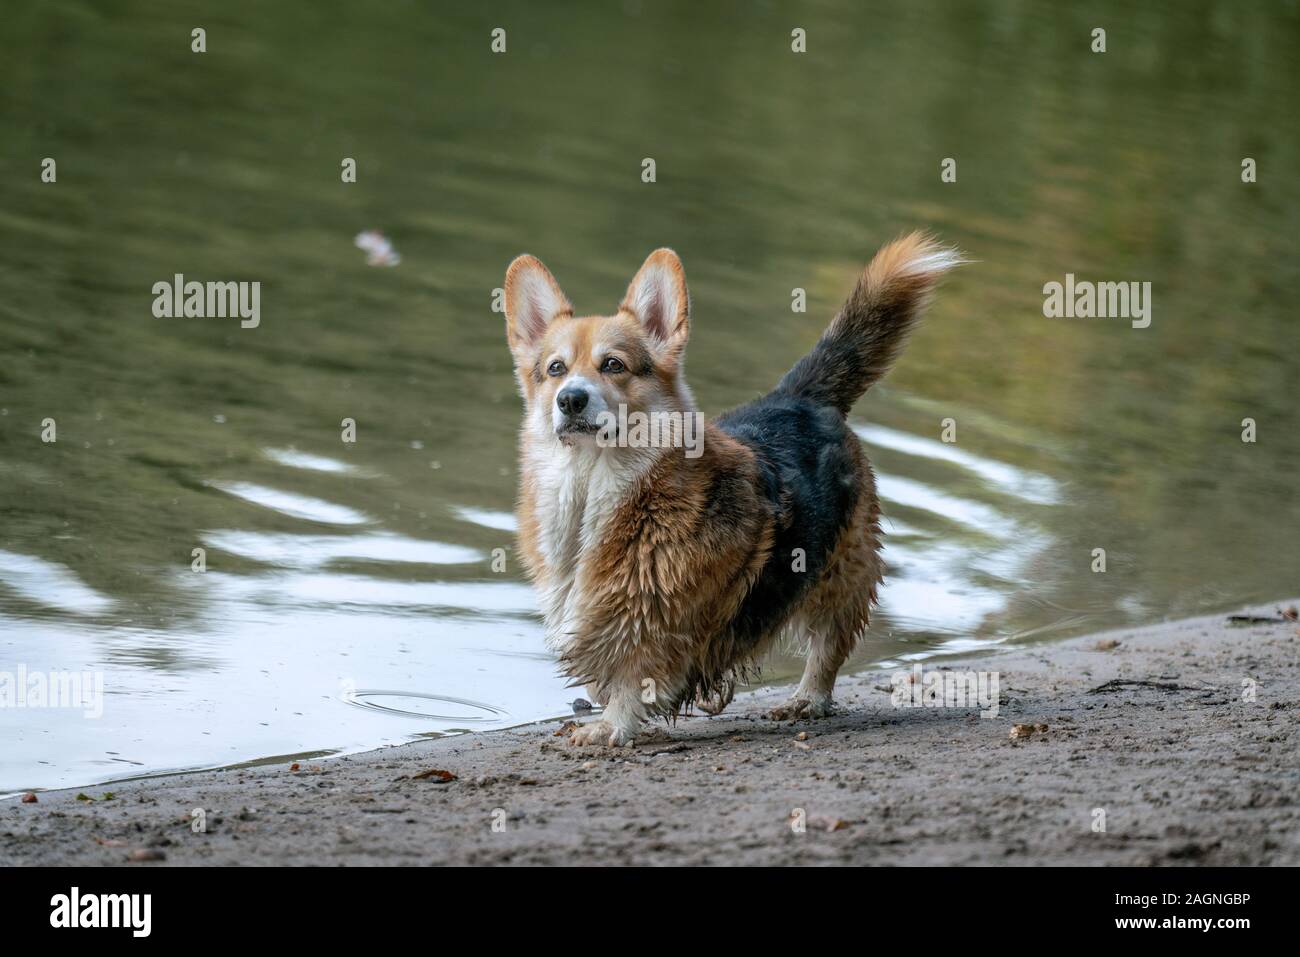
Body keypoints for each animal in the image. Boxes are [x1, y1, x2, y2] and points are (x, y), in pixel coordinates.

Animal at [501, 231, 961, 748]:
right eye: (555, 369)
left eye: (614, 365)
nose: (570, 400)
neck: (591, 484)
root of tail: (795, 396)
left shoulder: (661, 623)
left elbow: (634, 675)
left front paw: (611, 727)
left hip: (840, 571)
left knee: (828, 644)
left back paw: (807, 698)